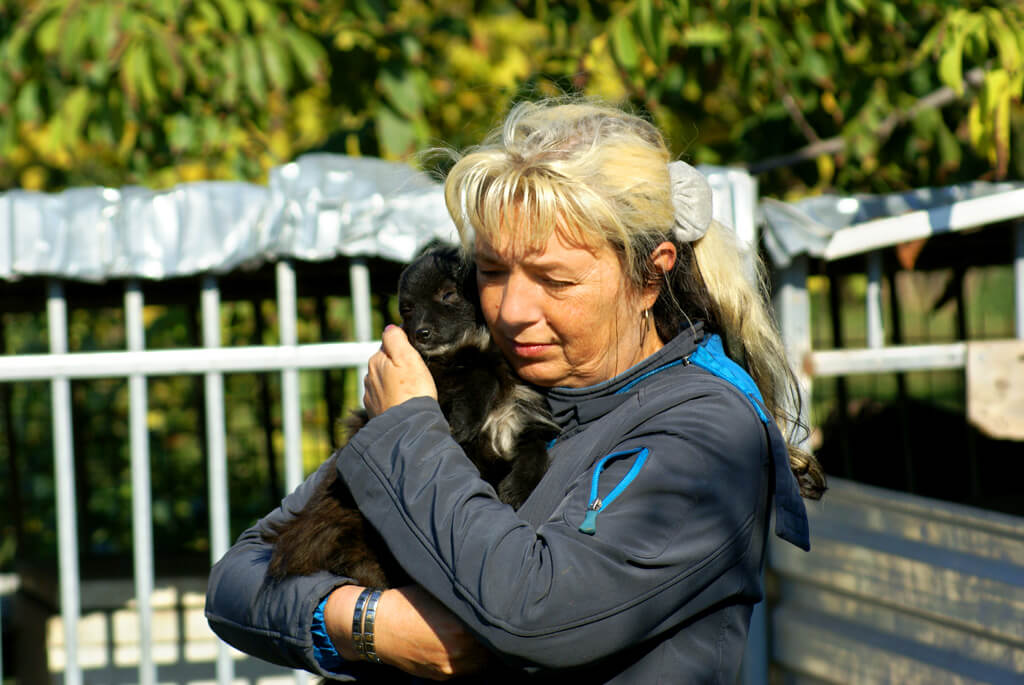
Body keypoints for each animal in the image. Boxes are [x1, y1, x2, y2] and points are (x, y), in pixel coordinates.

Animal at [264, 243, 557, 588]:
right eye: (407, 308)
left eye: (448, 294)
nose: (421, 333)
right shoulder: (443, 381)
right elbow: (477, 371)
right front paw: (468, 418)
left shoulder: (521, 422)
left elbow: (536, 452)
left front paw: (516, 489)